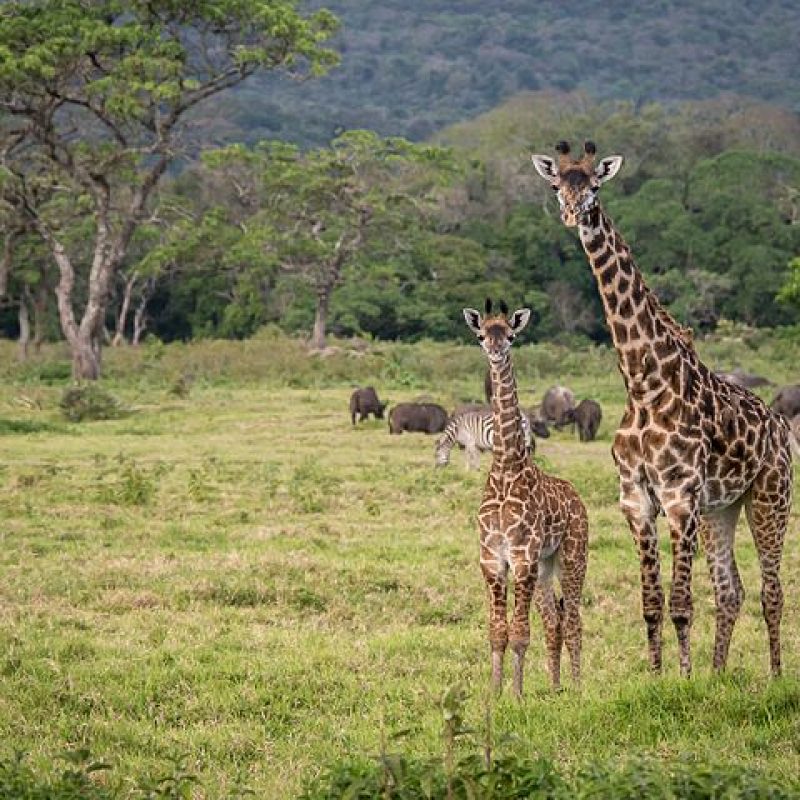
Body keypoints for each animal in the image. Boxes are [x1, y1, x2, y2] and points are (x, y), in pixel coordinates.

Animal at [463, 298, 589, 696]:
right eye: (482, 334)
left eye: (511, 334)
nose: (495, 349)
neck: (506, 469)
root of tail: (577, 498)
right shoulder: (492, 559)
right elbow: (497, 633)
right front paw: (495, 693)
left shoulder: (522, 557)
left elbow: (519, 633)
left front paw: (516, 696)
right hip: (546, 566)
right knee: (554, 619)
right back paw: (555, 687)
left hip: (572, 557)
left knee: (574, 618)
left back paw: (576, 687)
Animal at [531, 140, 793, 677]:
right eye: (557, 185)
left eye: (594, 184)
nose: (572, 213)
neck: (643, 384)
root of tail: (781, 427)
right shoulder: (636, 499)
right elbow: (651, 603)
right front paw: (659, 676)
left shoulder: (679, 497)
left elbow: (680, 603)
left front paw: (685, 679)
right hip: (722, 509)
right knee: (731, 590)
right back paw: (718, 675)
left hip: (770, 497)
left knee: (771, 591)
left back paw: (775, 676)